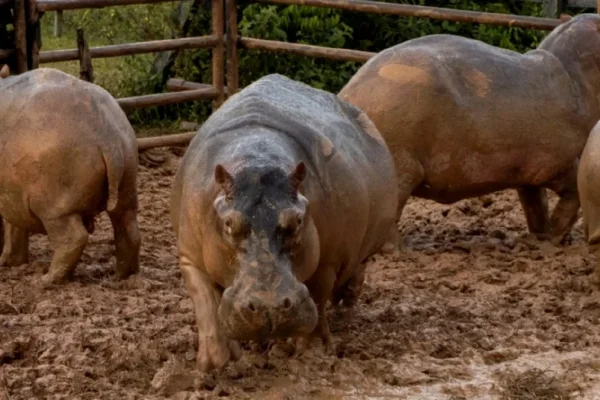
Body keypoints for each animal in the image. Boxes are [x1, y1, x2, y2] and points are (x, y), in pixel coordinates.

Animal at [0, 66, 141, 284]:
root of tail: (107, 135)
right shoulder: (12, 196)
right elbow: (13, 228)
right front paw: (10, 262)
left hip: (54, 206)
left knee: (73, 238)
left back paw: (45, 280)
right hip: (127, 180)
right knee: (128, 228)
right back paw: (120, 277)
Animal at [170, 72, 398, 372]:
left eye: (298, 219)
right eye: (229, 223)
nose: (269, 307)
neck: (256, 160)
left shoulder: (327, 260)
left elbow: (317, 298)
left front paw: (310, 352)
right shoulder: (190, 256)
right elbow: (206, 302)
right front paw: (215, 363)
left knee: (355, 268)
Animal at [340, 13, 600, 247]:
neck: (575, 77)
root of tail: (348, 95)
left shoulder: (528, 173)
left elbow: (536, 205)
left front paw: (538, 239)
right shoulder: (558, 161)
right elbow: (573, 193)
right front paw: (554, 239)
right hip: (400, 166)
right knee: (390, 216)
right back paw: (401, 250)